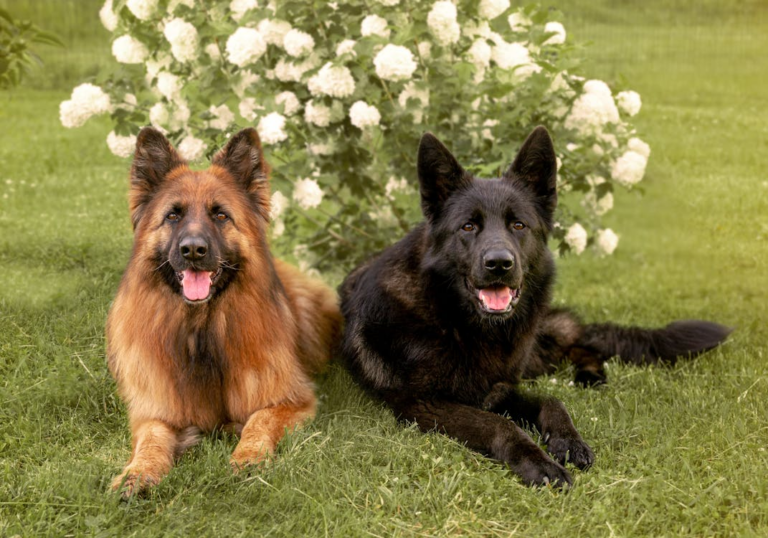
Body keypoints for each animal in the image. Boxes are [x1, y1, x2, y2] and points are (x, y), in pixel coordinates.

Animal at [106, 125, 342, 494]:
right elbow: (151, 439)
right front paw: (138, 472)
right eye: (173, 215)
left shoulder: (289, 400)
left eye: (220, 215)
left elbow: (259, 422)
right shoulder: (154, 410)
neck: (201, 331)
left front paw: (248, 457)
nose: (193, 250)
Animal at [342, 126, 732, 486]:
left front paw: (566, 440)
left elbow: (551, 400)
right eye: (468, 226)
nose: (499, 264)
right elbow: (500, 425)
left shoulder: (500, 388)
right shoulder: (425, 404)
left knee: (578, 341)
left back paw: (591, 374)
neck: (455, 321)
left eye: (518, 224)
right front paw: (538, 462)